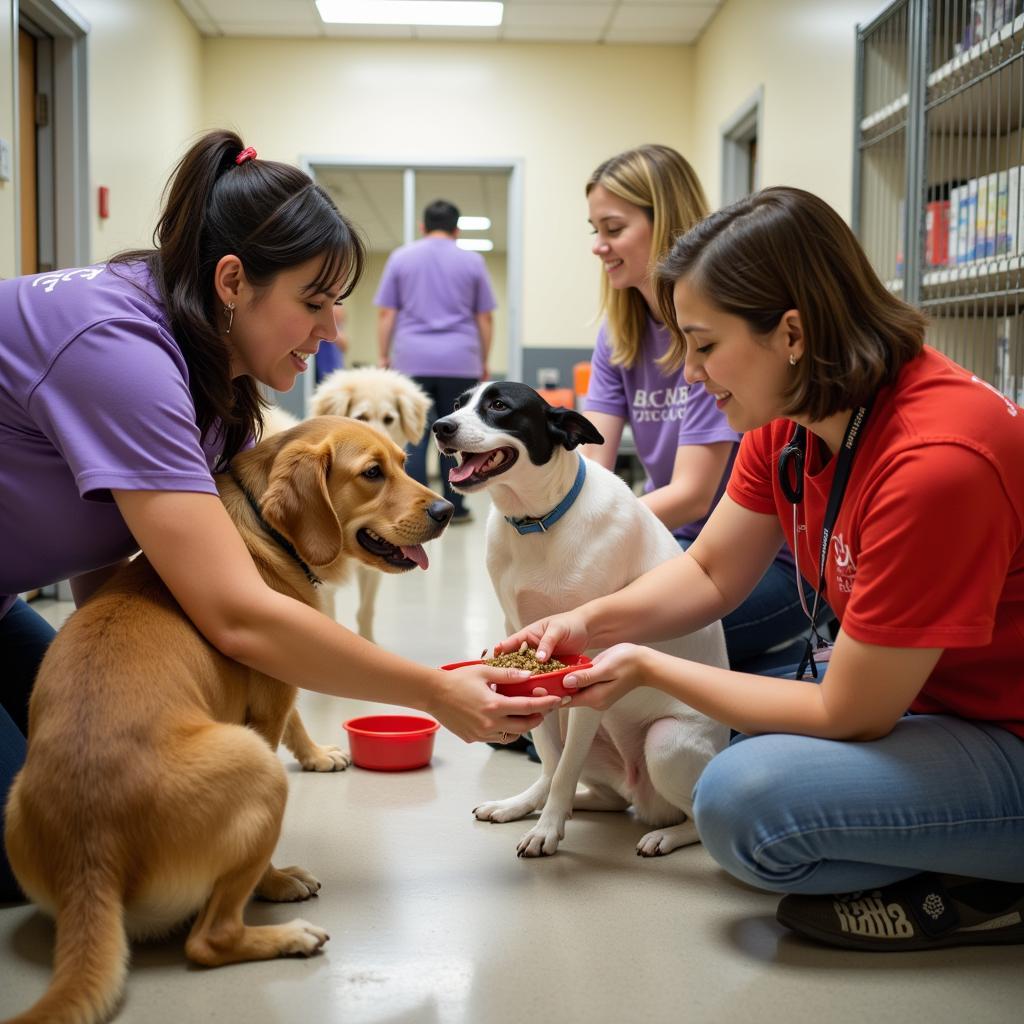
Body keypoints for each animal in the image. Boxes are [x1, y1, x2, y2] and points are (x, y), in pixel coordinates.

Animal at [4, 413, 452, 1024]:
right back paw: (286, 930)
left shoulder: (279, 670)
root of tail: (88, 855)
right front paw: (276, 881)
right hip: (256, 766)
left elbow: (297, 722)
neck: (266, 532)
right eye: (372, 473)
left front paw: (316, 756)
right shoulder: (270, 693)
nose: (447, 510)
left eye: (406, 463)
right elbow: (288, 719)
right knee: (209, 938)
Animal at [432, 382, 729, 856]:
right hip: (585, 733)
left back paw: (664, 835)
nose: (441, 426)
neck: (539, 520)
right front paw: (541, 813)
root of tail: (644, 799)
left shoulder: (587, 661)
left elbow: (563, 768)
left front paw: (548, 829)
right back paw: (535, 804)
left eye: (499, 406)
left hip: (663, 742)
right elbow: (554, 763)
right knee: (594, 789)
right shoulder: (520, 635)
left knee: (694, 817)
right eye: (460, 403)